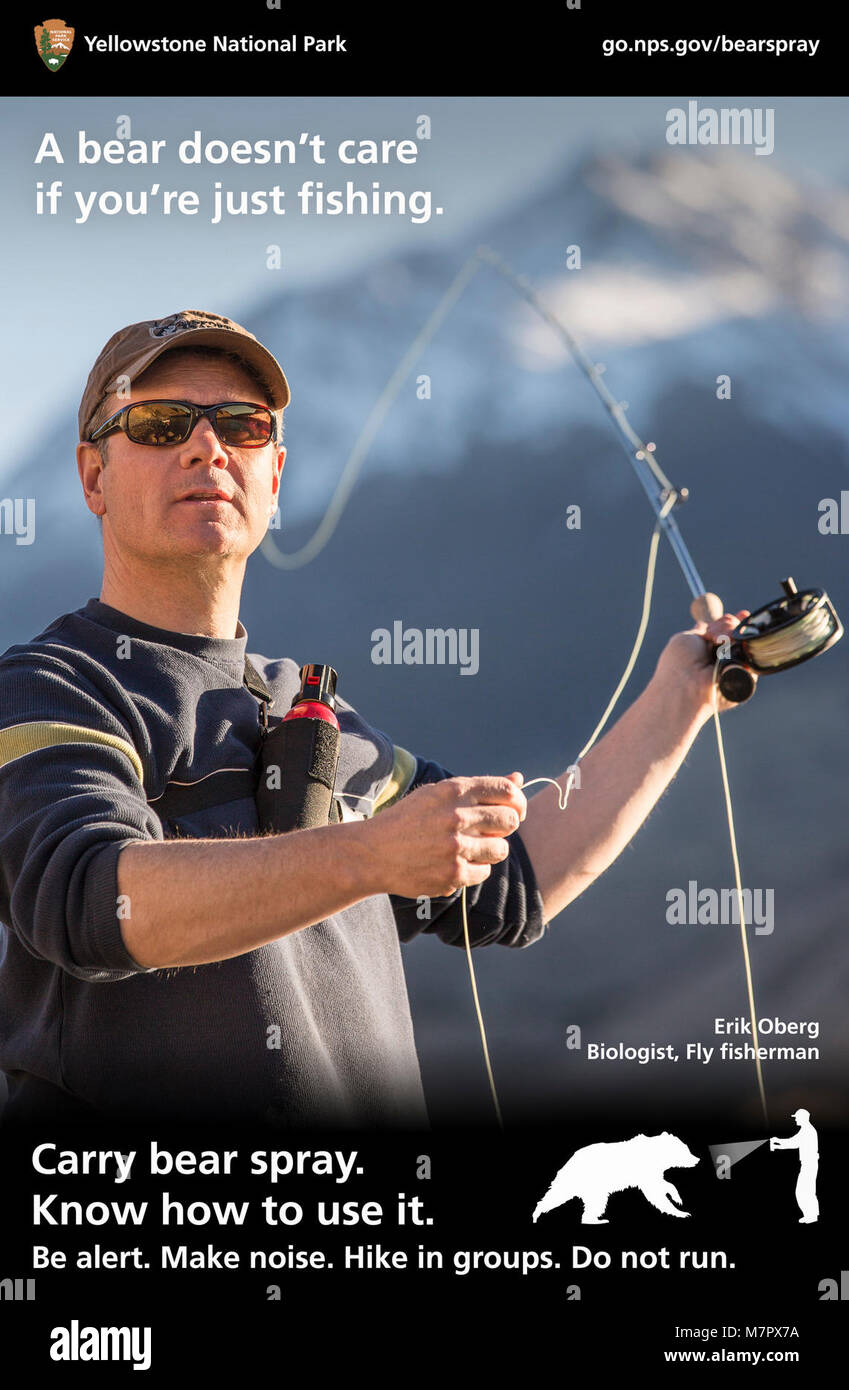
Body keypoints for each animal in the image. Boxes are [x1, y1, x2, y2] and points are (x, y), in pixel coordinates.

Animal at [532, 1132, 700, 1224]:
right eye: (686, 1150)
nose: (697, 1159)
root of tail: (568, 1161)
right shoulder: (644, 1170)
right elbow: (656, 1192)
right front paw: (681, 1211)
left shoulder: (652, 1171)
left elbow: (662, 1185)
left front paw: (678, 1200)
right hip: (586, 1182)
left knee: (559, 1196)